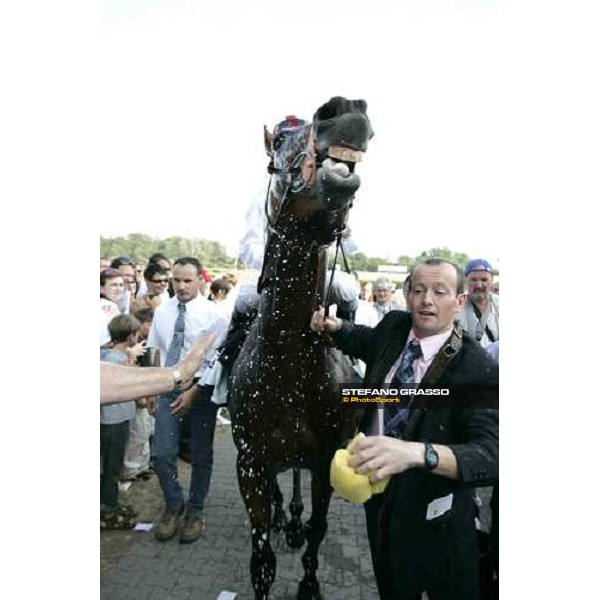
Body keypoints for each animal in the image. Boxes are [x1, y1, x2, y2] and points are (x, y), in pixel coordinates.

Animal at [229, 96, 372, 596]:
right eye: (279, 143)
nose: (344, 109)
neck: (288, 369)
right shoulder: (250, 463)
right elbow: (261, 555)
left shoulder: (325, 459)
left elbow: (318, 529)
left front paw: (309, 582)